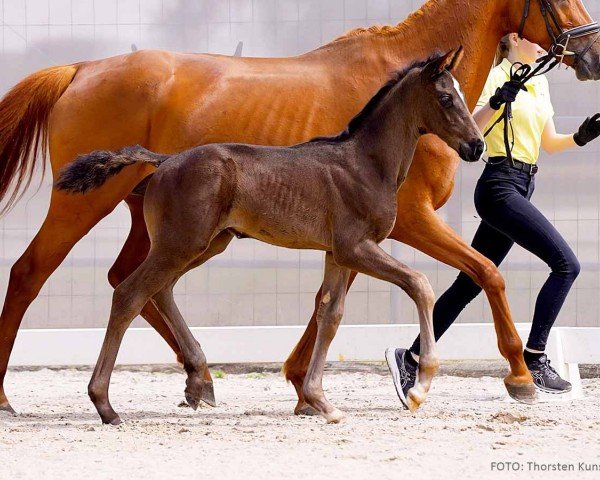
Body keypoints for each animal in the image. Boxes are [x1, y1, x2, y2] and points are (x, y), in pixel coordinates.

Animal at [58, 49, 486, 424]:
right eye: (446, 98)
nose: (476, 145)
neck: (365, 163)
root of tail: (165, 161)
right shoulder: (356, 248)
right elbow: (420, 284)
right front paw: (419, 388)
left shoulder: (336, 254)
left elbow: (330, 315)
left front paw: (320, 402)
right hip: (181, 245)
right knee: (129, 294)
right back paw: (106, 406)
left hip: (205, 244)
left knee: (160, 291)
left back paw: (196, 385)